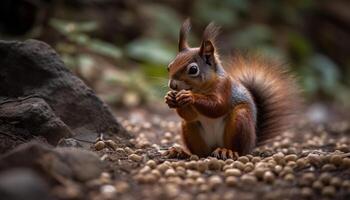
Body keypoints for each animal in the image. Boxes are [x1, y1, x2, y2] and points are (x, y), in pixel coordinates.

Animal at [165, 19, 300, 159]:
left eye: (193, 69)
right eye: (169, 66)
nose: (172, 85)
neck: (200, 89)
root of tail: (252, 142)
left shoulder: (224, 86)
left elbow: (218, 107)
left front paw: (190, 97)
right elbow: (190, 115)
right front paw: (170, 97)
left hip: (241, 121)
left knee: (239, 150)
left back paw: (227, 151)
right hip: (189, 128)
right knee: (199, 152)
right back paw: (180, 151)